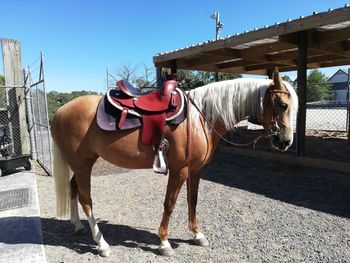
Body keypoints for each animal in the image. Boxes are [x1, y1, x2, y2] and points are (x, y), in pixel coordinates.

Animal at [52, 68, 298, 258]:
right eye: (283, 105)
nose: (286, 141)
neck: (200, 119)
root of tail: (61, 111)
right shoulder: (180, 170)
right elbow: (169, 204)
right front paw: (164, 243)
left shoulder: (196, 170)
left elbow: (193, 200)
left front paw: (197, 234)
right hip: (82, 164)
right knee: (86, 200)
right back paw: (102, 244)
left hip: (83, 163)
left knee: (73, 188)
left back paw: (77, 225)